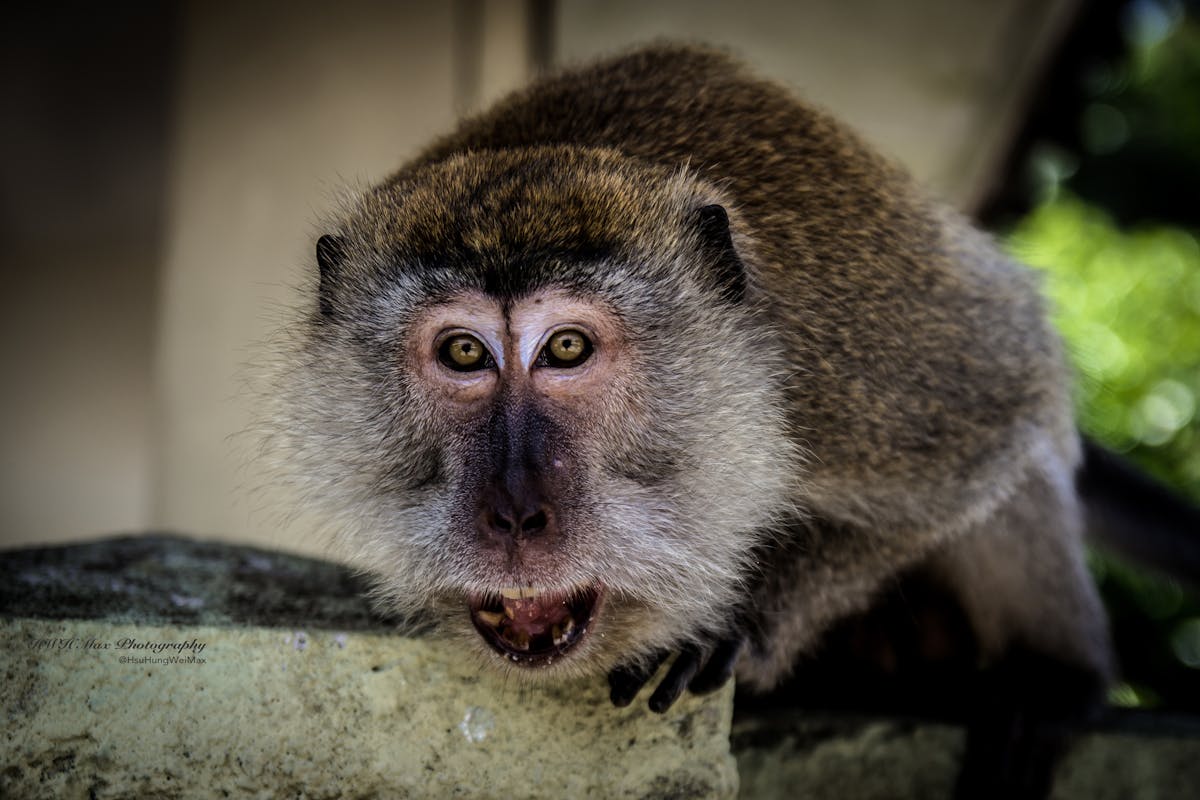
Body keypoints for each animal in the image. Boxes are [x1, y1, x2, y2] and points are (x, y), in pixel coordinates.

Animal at [264, 44, 1155, 797]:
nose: (514, 512)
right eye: (462, 354)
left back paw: (1055, 676)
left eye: (566, 347)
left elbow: (997, 412)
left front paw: (735, 618)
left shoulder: (855, 369)